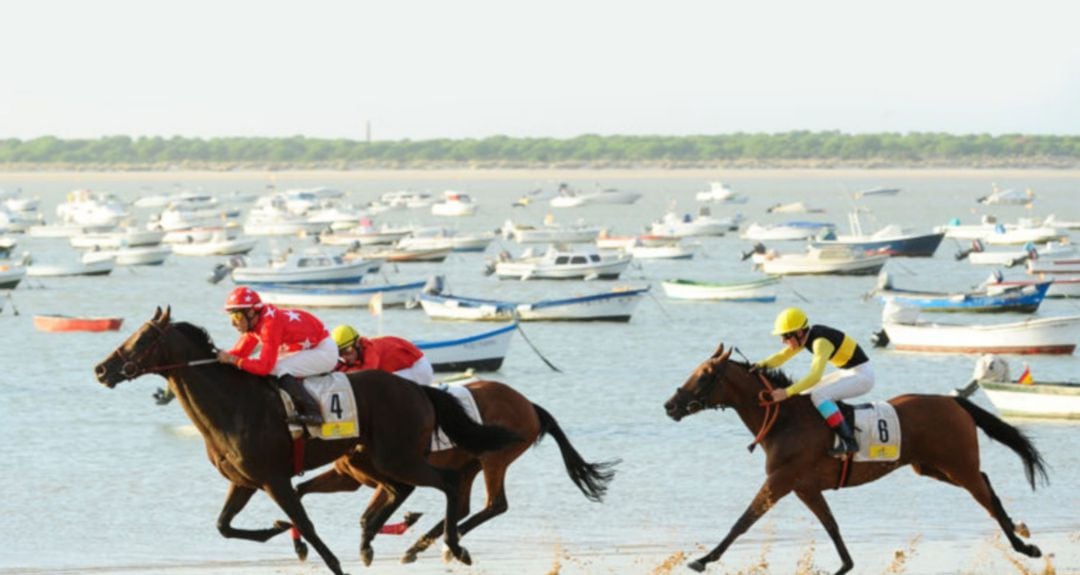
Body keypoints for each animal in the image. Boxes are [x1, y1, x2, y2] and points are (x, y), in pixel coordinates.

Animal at [92, 309, 522, 575]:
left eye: (142, 338)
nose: (101, 370)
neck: (231, 403)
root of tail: (417, 389)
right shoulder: (246, 481)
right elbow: (224, 526)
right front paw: (275, 529)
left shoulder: (274, 479)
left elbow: (307, 524)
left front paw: (329, 560)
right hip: (375, 459)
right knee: (402, 490)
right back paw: (373, 542)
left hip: (397, 456)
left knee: (447, 484)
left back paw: (451, 545)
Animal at [295, 380, 622, 562]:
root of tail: (528, 404)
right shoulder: (349, 477)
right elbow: (302, 492)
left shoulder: (390, 474)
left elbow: (371, 514)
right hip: (469, 464)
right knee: (463, 504)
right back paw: (424, 545)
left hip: (494, 458)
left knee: (495, 504)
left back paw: (440, 544)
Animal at [660, 343, 1049, 570]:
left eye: (704, 376)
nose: (670, 405)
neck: (785, 420)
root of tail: (953, 401)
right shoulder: (804, 487)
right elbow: (831, 526)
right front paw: (845, 564)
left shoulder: (781, 480)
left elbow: (744, 521)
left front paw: (703, 559)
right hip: (932, 467)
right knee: (986, 483)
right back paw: (1019, 529)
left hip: (957, 464)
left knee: (985, 496)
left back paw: (1022, 545)